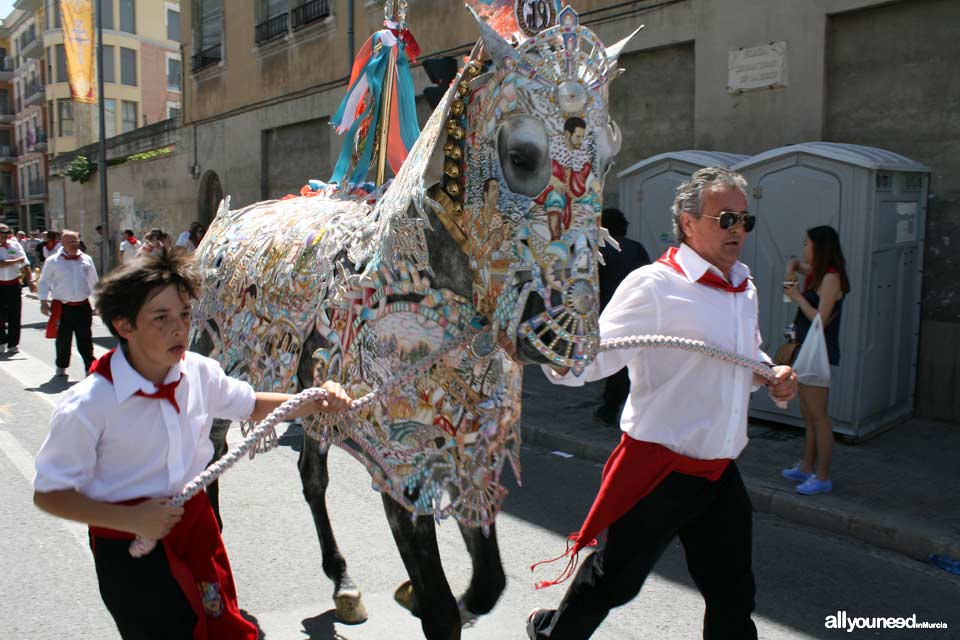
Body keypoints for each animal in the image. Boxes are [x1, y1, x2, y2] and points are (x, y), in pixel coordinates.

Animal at [188, 2, 636, 636]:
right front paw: (425, 597)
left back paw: (343, 582)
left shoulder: (468, 449)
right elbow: (441, 609)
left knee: (311, 474)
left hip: (313, 400)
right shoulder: (400, 463)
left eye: (612, 153)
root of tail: (221, 224)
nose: (563, 340)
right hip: (222, 365)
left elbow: (489, 583)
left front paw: (422, 595)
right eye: (521, 155)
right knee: (212, 450)